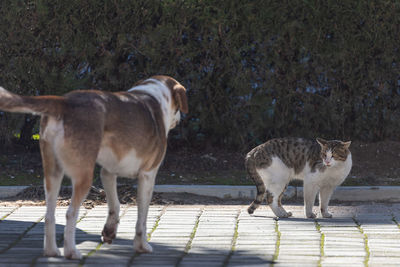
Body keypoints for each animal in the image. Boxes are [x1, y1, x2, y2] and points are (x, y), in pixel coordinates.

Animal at [0, 75, 188, 260]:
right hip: (84, 177)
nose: (180, 119)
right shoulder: (148, 175)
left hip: (52, 174)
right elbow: (142, 218)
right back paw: (72, 252)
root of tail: (64, 101)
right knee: (70, 213)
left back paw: (52, 251)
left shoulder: (108, 173)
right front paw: (142, 246)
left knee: (49, 215)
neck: (155, 96)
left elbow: (115, 205)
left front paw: (109, 232)